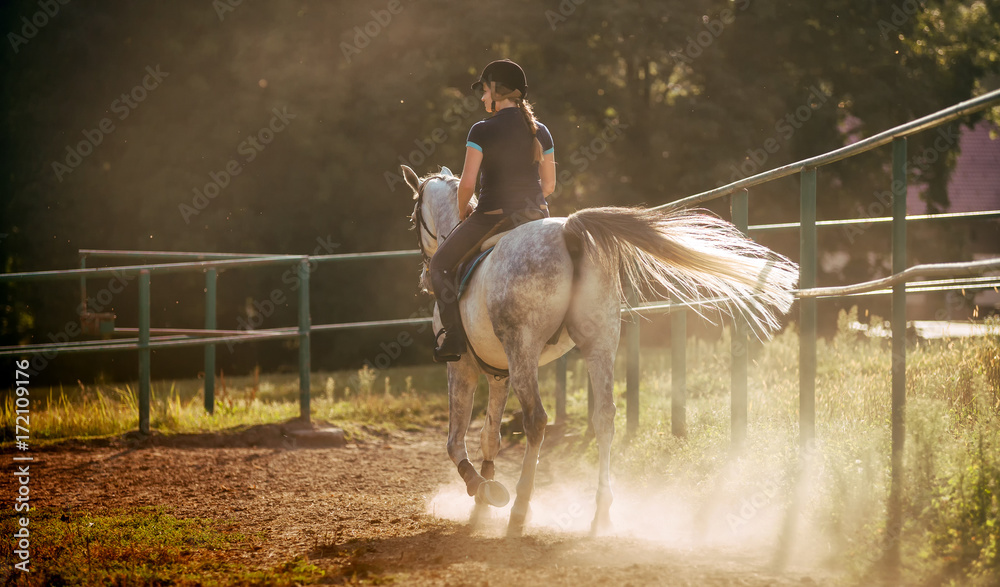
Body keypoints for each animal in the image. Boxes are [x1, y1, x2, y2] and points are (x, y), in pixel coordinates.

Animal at [400, 164, 796, 536]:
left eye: (414, 217)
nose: (422, 276)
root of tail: (567, 231)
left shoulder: (462, 367)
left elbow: (455, 442)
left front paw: (482, 490)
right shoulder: (499, 374)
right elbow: (489, 438)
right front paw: (483, 502)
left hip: (523, 348)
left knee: (536, 420)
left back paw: (521, 509)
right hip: (598, 344)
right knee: (604, 417)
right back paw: (601, 513)